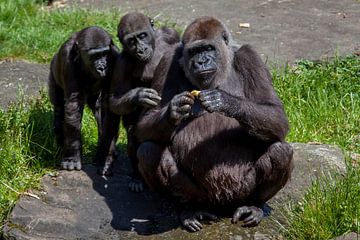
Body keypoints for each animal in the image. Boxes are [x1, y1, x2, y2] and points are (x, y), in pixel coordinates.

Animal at [48, 25, 119, 172]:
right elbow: (73, 107)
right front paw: (72, 157)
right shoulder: (67, 60)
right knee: (59, 107)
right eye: (94, 56)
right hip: (53, 74)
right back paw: (60, 143)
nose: (102, 67)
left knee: (99, 110)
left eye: (104, 54)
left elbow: (109, 109)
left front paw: (105, 158)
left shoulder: (115, 57)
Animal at [106, 12, 180, 190]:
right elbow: (114, 98)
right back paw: (137, 177)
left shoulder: (170, 34)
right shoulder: (122, 61)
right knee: (134, 133)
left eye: (142, 36)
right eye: (131, 41)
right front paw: (139, 96)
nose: (140, 49)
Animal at [134, 16, 294, 231]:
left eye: (208, 48)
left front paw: (225, 101)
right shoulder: (167, 60)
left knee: (280, 152)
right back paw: (189, 209)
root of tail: (221, 203)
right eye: (194, 52)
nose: (201, 61)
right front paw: (173, 111)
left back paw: (254, 205)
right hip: (204, 196)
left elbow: (276, 116)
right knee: (149, 151)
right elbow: (145, 122)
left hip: (240, 192)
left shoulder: (250, 57)